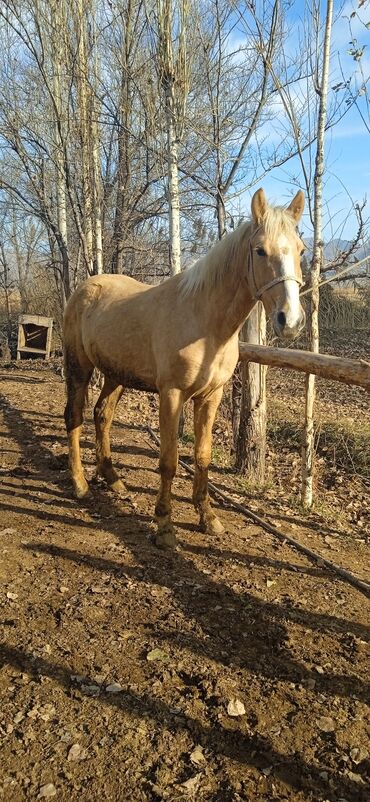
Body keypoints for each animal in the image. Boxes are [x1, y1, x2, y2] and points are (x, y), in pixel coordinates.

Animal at [63, 190, 304, 548]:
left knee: (102, 415)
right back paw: (79, 484)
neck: (205, 325)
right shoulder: (172, 395)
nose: (290, 321)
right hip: (79, 367)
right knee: (75, 417)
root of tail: (85, 287)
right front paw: (164, 527)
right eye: (260, 250)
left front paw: (209, 518)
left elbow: (202, 456)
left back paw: (113, 479)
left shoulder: (210, 396)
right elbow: (169, 461)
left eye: (301, 250)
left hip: (115, 375)